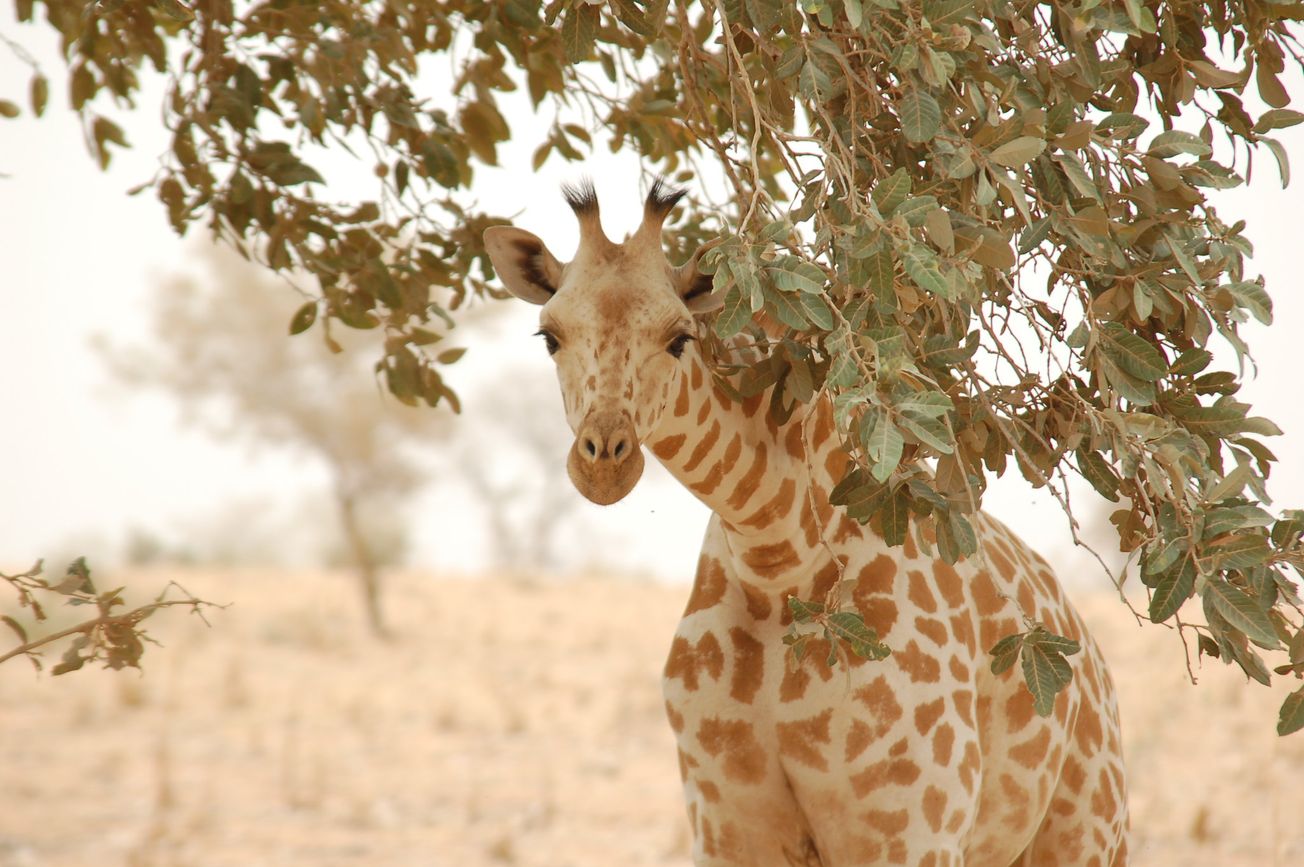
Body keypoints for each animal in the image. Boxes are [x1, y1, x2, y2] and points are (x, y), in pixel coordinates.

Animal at [482, 180, 1129, 866]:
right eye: (550, 336)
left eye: (680, 337)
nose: (604, 462)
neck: (777, 558)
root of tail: (1091, 658)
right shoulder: (725, 824)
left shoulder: (914, 830)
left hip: (1088, 834)